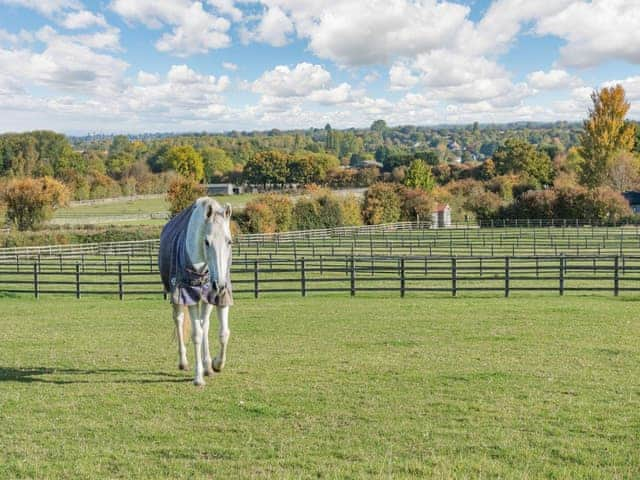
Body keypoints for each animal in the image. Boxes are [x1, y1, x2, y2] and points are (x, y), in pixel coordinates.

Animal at [159, 197, 234, 384]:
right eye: (207, 242)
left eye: (229, 241)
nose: (219, 285)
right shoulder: (189, 295)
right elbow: (196, 334)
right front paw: (198, 377)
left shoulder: (220, 296)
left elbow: (223, 333)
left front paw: (216, 364)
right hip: (176, 296)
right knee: (179, 321)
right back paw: (184, 362)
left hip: (207, 298)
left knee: (204, 324)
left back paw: (208, 366)